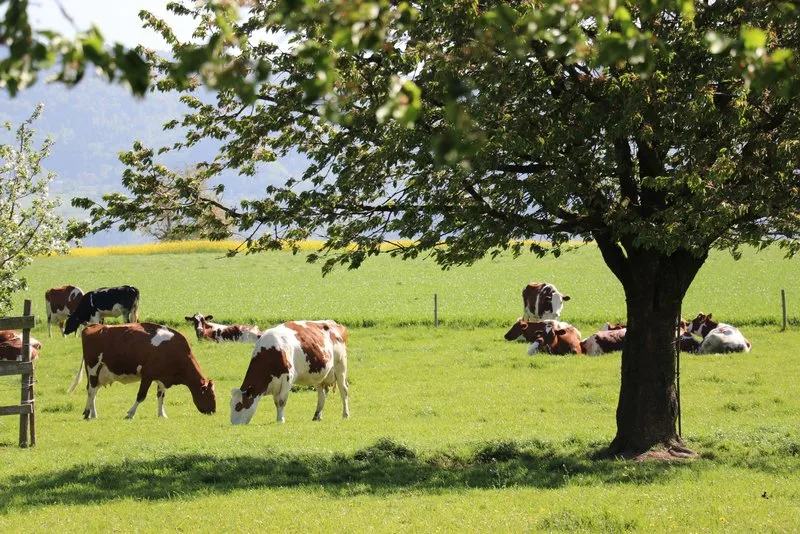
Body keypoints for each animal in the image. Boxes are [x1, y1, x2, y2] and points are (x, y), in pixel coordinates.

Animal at [67, 322, 216, 419]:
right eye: (210, 396)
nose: (213, 411)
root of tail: (92, 326)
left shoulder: (162, 378)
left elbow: (160, 396)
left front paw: (161, 414)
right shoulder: (147, 375)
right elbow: (141, 396)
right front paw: (130, 413)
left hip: (100, 373)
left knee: (92, 391)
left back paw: (89, 413)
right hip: (93, 368)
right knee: (92, 391)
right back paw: (91, 414)